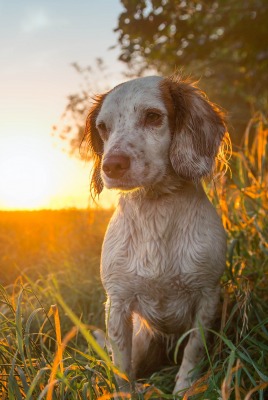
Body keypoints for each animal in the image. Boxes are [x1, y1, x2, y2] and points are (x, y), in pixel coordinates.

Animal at [85, 76, 227, 396]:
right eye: (103, 127)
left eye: (153, 116)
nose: (111, 166)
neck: (156, 208)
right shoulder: (117, 303)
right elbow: (122, 367)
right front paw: (126, 394)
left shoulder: (208, 296)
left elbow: (193, 351)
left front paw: (184, 389)